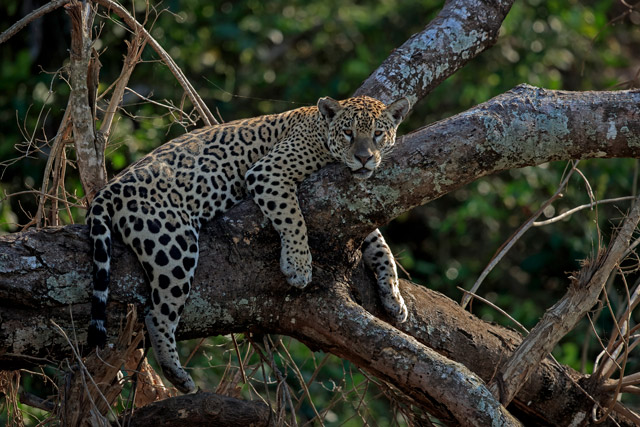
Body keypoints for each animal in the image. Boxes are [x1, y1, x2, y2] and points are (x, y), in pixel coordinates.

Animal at [86, 95, 410, 393]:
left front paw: (394, 297)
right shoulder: (268, 171)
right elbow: (293, 217)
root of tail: (108, 189)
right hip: (173, 246)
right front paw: (298, 266)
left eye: (378, 134)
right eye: (348, 133)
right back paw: (177, 374)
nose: (365, 158)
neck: (321, 130)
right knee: (157, 314)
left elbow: (381, 246)